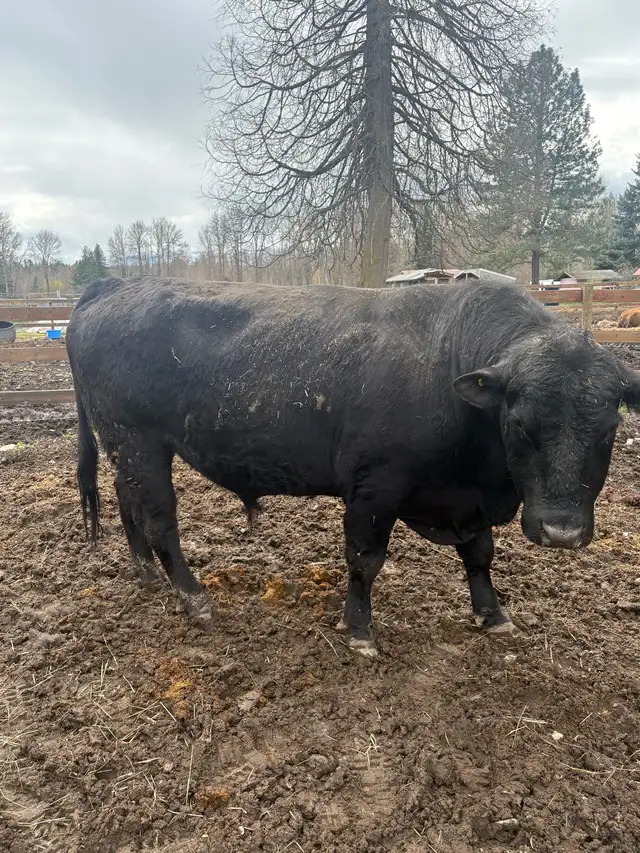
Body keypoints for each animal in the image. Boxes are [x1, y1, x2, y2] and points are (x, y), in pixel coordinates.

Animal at [66, 276, 640, 657]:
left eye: (610, 427)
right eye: (519, 423)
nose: (561, 531)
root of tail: (116, 284)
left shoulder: (468, 500)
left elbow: (480, 555)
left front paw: (492, 615)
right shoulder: (374, 488)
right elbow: (366, 560)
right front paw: (360, 630)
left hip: (126, 448)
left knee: (126, 501)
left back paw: (145, 573)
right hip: (138, 443)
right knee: (160, 520)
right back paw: (193, 598)